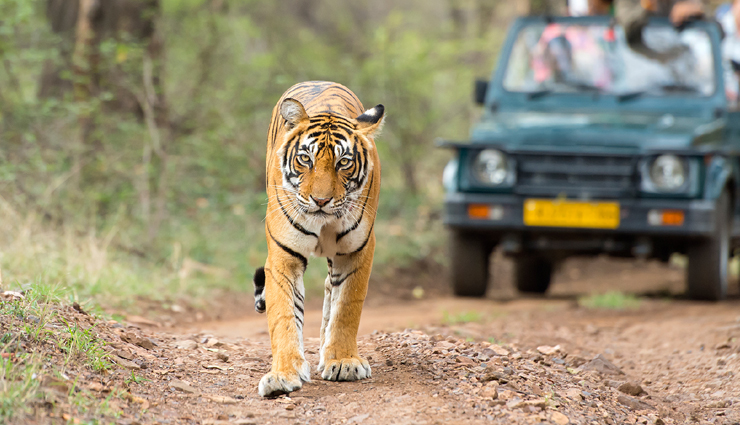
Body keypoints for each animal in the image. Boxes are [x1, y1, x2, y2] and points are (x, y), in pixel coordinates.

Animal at [252, 81, 384, 397]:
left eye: (343, 162)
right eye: (305, 159)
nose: (321, 201)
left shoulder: (357, 251)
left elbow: (346, 307)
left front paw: (343, 361)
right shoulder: (283, 256)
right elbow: (284, 315)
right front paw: (283, 375)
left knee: (330, 291)